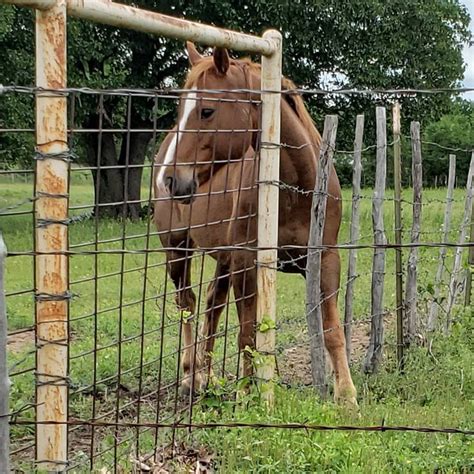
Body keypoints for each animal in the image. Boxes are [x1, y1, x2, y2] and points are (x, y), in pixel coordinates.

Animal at [154, 40, 358, 406]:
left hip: (222, 257)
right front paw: (247, 393)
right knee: (187, 304)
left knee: (212, 305)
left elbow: (332, 330)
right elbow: (248, 333)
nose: (171, 179)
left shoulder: (324, 259)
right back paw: (191, 377)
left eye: (207, 111)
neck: (294, 189)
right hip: (177, 248)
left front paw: (347, 396)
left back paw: (208, 377)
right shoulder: (246, 262)